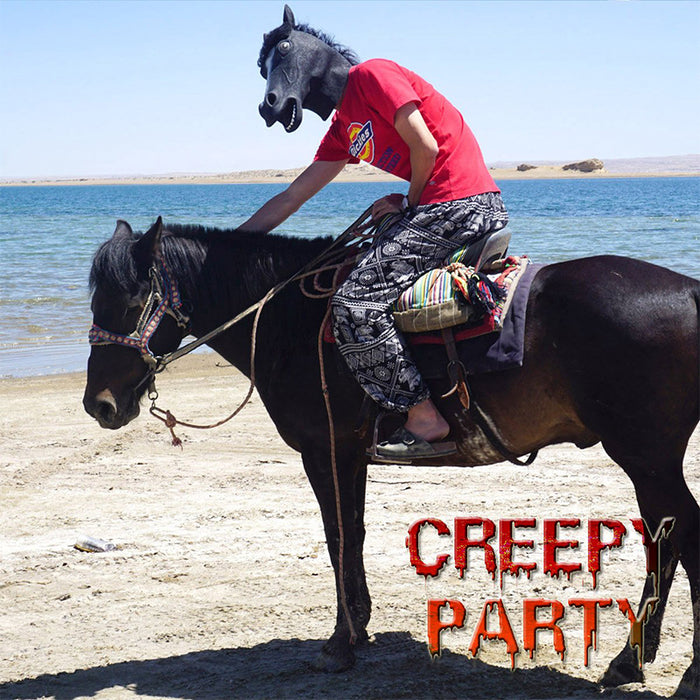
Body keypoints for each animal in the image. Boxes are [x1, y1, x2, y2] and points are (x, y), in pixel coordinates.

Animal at [82, 217, 699, 695]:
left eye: (132, 303)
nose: (100, 404)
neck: (290, 323)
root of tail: (690, 291)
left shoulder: (326, 452)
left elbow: (338, 538)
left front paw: (340, 643)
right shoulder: (351, 457)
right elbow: (351, 535)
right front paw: (358, 628)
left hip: (645, 456)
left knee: (679, 538)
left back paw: (676, 671)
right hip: (650, 459)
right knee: (665, 539)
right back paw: (631, 660)